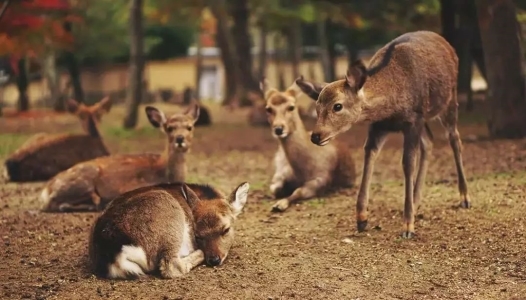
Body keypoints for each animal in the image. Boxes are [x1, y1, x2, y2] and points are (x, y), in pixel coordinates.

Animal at [39, 104, 202, 212]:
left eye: (190, 127)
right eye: (169, 128)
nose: (180, 139)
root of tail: (46, 188)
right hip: (82, 180)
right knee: (55, 204)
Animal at [88, 182, 250, 280]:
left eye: (226, 229)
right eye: (197, 236)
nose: (214, 260)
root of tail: (114, 255)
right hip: (168, 213)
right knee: (171, 266)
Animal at [264, 78, 358, 212]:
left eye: (291, 107)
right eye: (268, 108)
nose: (278, 129)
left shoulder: (321, 179)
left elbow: (298, 191)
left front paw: (279, 204)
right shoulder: (280, 173)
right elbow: (274, 188)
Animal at [296, 29, 474, 238]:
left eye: (337, 106)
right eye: (317, 107)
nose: (316, 135)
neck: (391, 106)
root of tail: (446, 44)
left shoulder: (413, 120)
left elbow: (407, 164)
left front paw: (408, 226)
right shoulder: (379, 126)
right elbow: (369, 155)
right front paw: (362, 219)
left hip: (449, 99)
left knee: (454, 139)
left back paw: (464, 198)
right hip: (425, 119)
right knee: (429, 141)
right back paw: (416, 200)